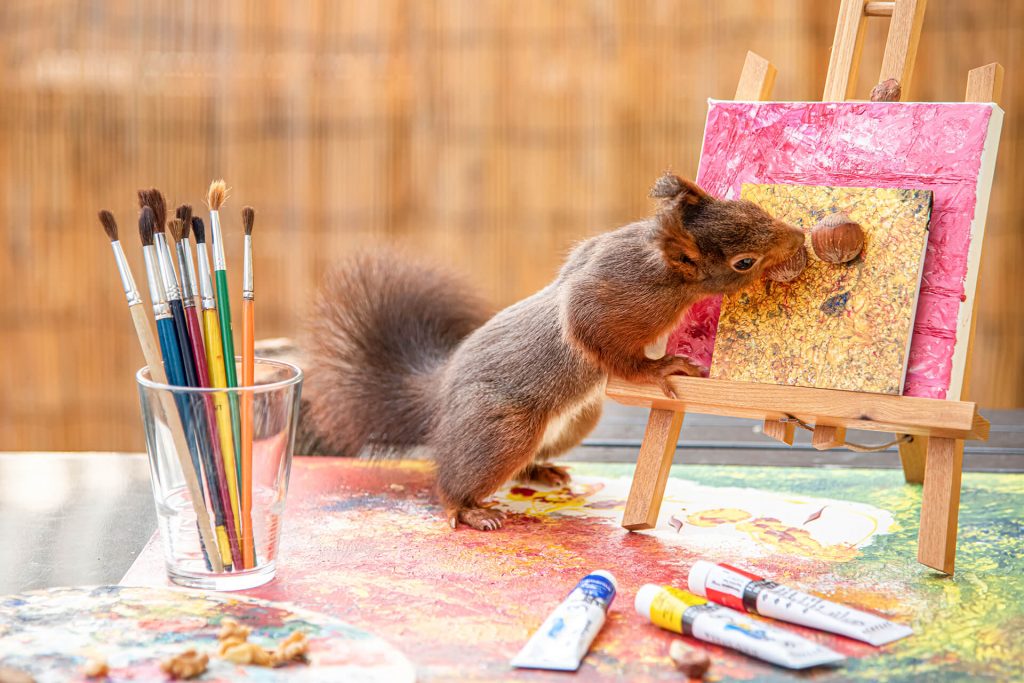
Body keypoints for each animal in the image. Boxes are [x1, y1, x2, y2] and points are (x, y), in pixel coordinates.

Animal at [304, 173, 805, 530]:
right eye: (743, 262)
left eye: (751, 206)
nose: (799, 238)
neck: (659, 265)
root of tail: (441, 395)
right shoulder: (607, 299)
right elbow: (600, 340)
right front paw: (661, 368)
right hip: (502, 430)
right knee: (452, 478)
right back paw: (469, 509)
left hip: (577, 419)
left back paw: (540, 473)